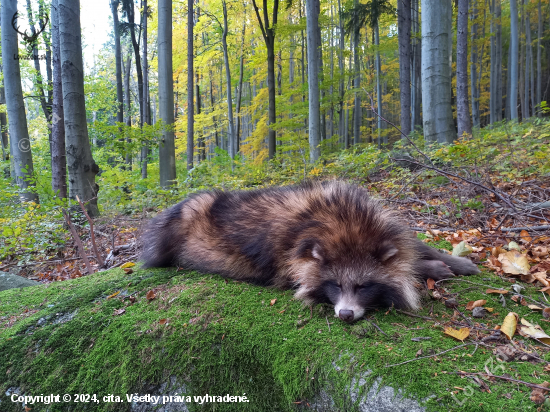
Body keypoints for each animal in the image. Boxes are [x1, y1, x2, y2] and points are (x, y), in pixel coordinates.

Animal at [141, 183, 478, 322]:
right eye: (335, 285)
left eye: (363, 286)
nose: (345, 314)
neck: (346, 227)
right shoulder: (291, 254)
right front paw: (426, 269)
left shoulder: (381, 226)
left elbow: (414, 244)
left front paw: (449, 259)